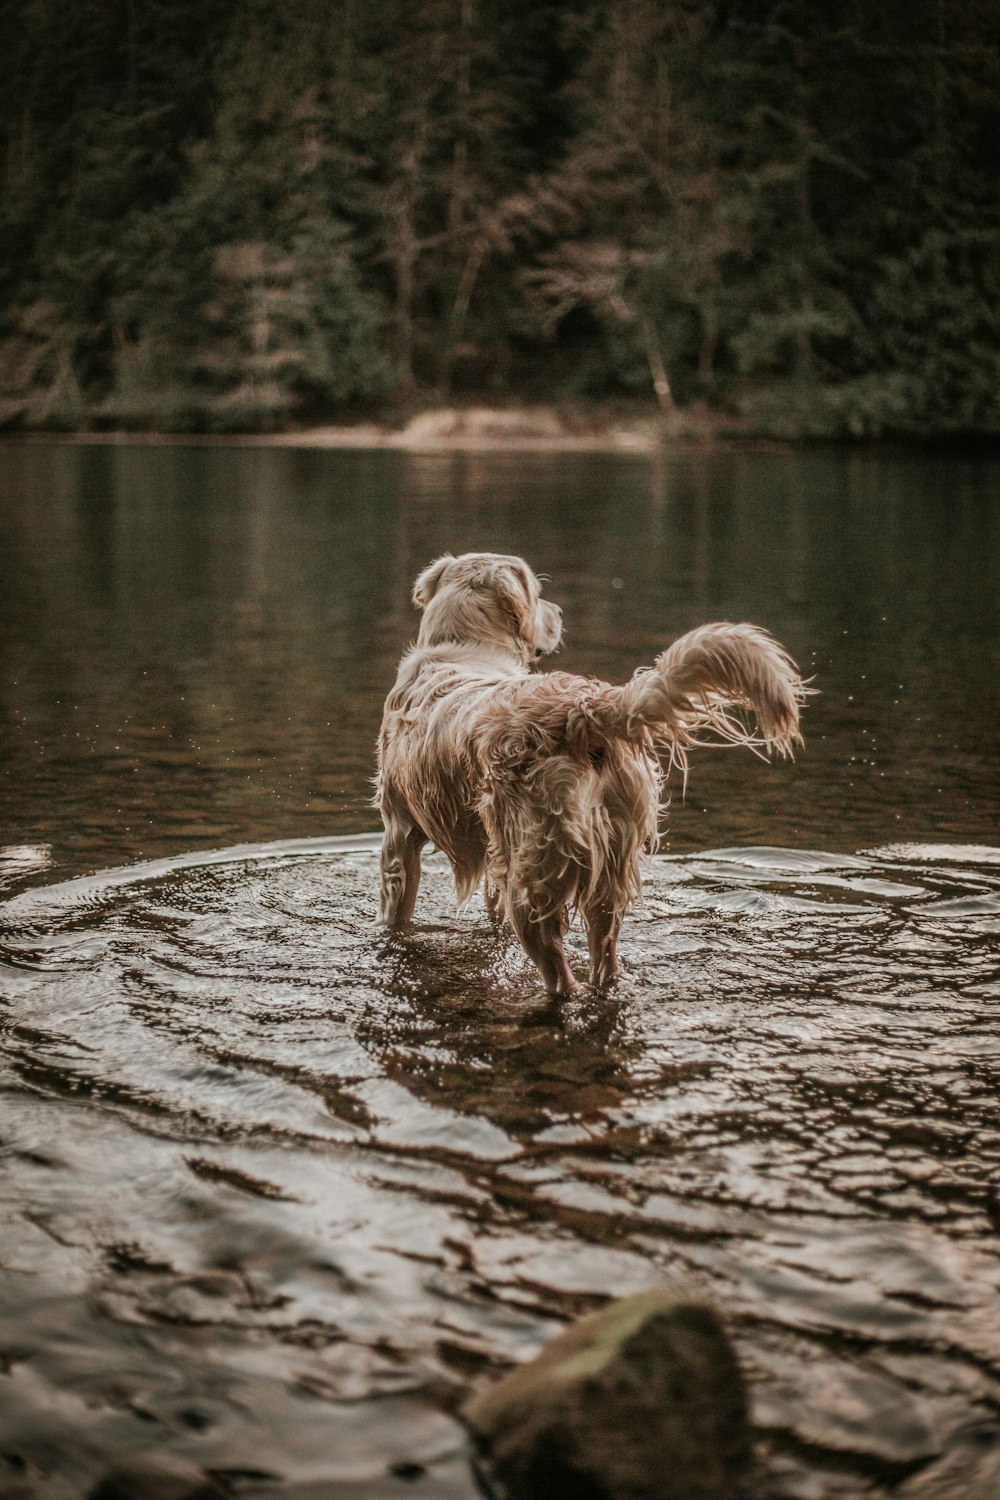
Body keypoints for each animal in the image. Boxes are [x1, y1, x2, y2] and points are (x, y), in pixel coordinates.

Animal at [374, 555, 803, 996]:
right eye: (538, 594)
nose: (559, 613)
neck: (463, 648)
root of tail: (584, 708)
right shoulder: (486, 851)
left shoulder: (399, 834)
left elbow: (396, 911)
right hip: (607, 863)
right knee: (604, 955)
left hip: (532, 875)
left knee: (559, 974)